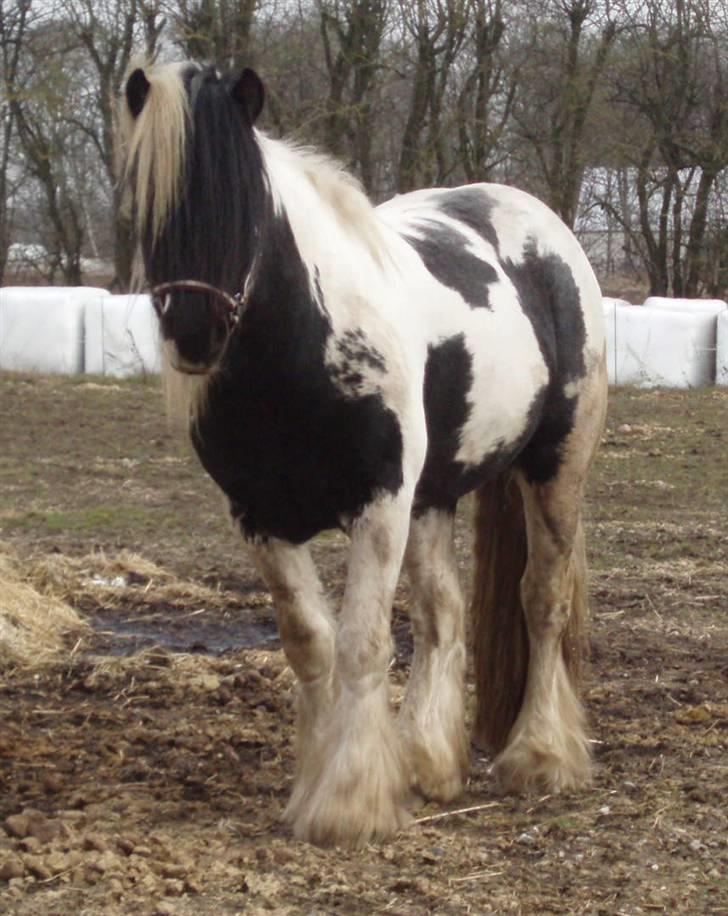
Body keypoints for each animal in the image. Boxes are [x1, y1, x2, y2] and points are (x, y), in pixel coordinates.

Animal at [118, 62, 608, 852]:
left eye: (247, 198)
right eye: (148, 196)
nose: (194, 331)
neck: (297, 354)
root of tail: (537, 221)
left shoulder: (378, 507)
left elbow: (361, 643)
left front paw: (349, 803)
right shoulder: (262, 519)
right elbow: (311, 643)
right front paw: (323, 783)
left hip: (553, 471)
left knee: (542, 600)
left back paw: (540, 756)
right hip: (434, 497)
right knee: (443, 613)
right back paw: (429, 765)